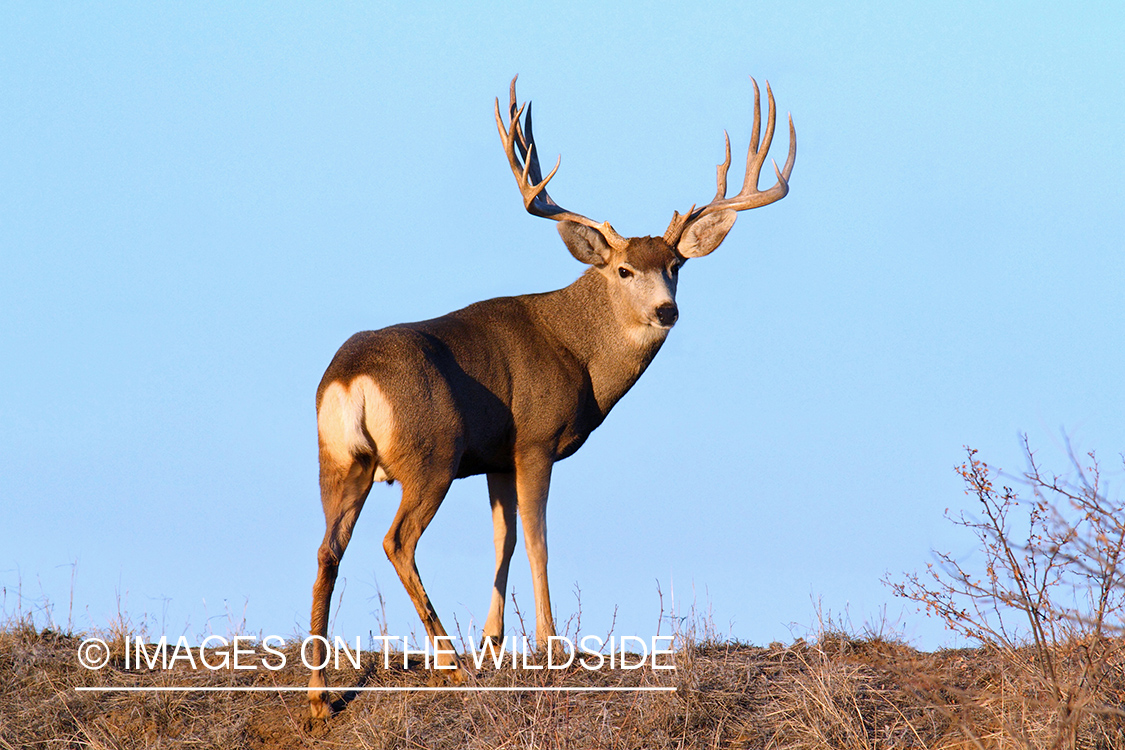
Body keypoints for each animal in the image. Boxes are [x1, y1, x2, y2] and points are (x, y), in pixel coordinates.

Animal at [308, 77, 796, 719]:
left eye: (675, 265)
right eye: (622, 270)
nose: (667, 310)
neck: (577, 351)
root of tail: (350, 378)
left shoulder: (494, 457)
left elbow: (504, 541)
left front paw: (494, 640)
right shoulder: (535, 440)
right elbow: (538, 540)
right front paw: (550, 642)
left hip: (342, 461)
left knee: (327, 552)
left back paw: (320, 698)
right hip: (430, 453)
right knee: (397, 541)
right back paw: (448, 662)